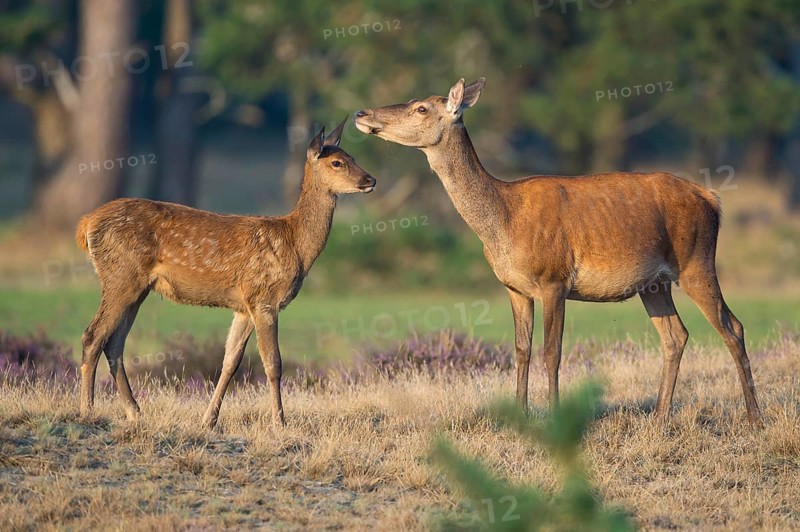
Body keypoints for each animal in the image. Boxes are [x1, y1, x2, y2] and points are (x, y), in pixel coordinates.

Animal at [75, 118, 376, 428]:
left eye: (353, 157)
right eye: (337, 162)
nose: (370, 180)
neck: (296, 245)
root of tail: (86, 223)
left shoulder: (243, 306)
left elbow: (230, 360)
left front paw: (209, 419)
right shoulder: (264, 297)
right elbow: (273, 363)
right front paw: (279, 422)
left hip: (138, 286)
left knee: (114, 343)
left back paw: (134, 411)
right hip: (121, 275)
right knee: (93, 335)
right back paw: (87, 411)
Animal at [355, 78, 764, 427]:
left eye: (421, 108)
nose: (362, 113)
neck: (503, 223)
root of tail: (712, 199)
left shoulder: (554, 279)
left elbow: (552, 352)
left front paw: (554, 417)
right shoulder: (514, 287)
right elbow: (521, 349)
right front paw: (520, 415)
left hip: (697, 261)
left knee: (734, 326)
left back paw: (754, 417)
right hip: (655, 283)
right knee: (676, 336)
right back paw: (660, 418)